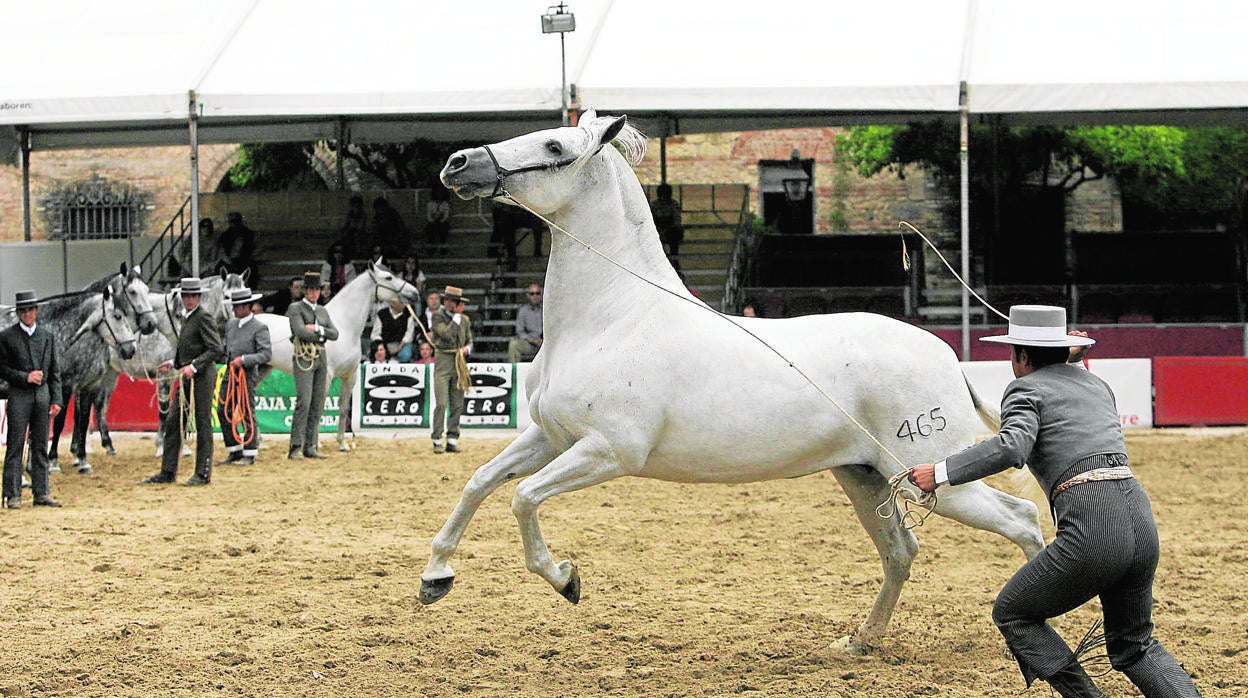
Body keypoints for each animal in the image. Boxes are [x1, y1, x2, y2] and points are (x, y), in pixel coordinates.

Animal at [255, 262, 421, 454]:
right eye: (388, 277)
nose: (414, 293)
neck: (343, 326)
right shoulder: (326, 376)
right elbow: (318, 408)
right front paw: (315, 444)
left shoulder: (350, 376)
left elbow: (343, 408)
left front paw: (342, 444)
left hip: (264, 369)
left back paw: (259, 441)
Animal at [424, 111, 1048, 654]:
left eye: (554, 146)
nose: (456, 164)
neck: (613, 317)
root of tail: (948, 355)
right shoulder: (549, 438)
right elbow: (480, 482)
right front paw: (435, 577)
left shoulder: (608, 452)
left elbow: (523, 498)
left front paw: (565, 578)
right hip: (865, 476)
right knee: (901, 551)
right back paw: (858, 643)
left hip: (933, 477)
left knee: (1021, 520)